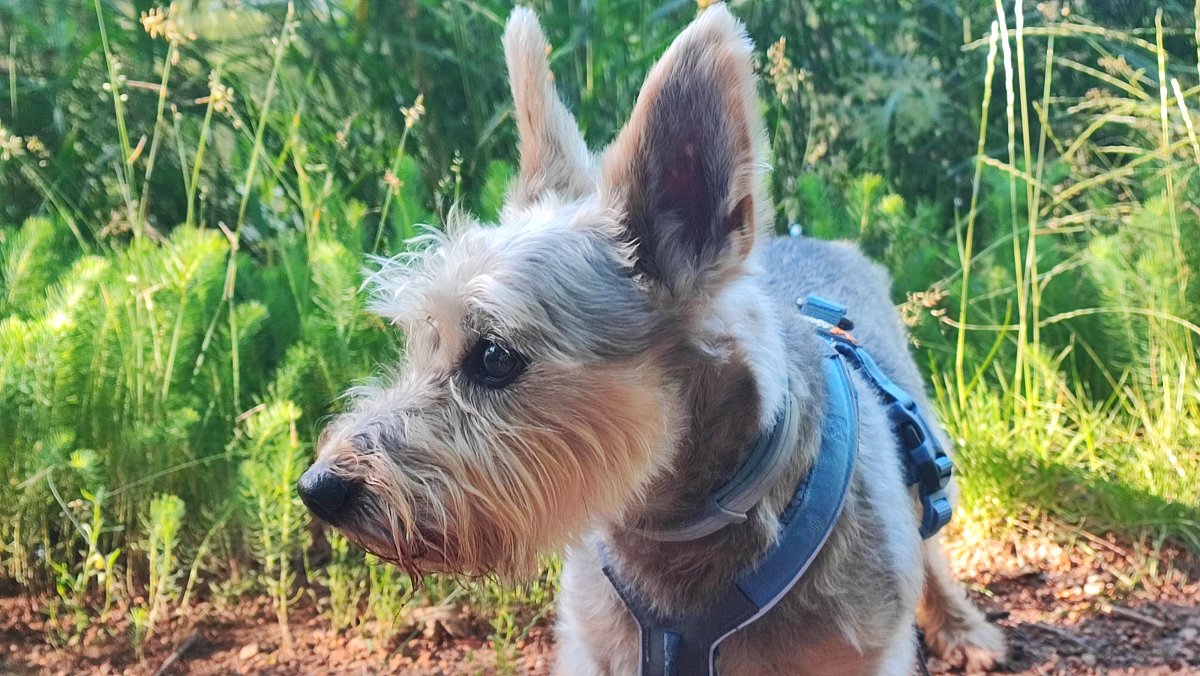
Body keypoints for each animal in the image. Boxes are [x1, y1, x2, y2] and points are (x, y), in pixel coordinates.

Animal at [297, 5, 1006, 674]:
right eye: (417, 341)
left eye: (494, 357)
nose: (318, 487)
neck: (678, 524)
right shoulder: (598, 647)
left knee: (931, 541)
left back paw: (962, 627)